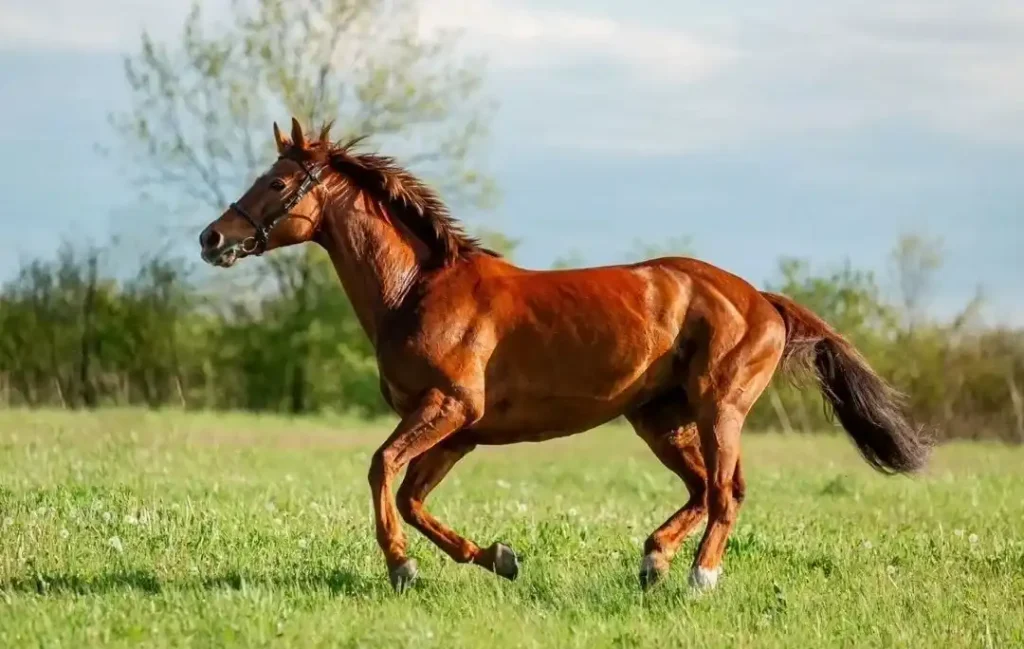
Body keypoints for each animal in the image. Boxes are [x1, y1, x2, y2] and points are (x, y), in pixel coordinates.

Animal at [198, 118, 932, 593]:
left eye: (276, 182)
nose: (213, 238)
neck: (419, 290)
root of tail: (762, 300)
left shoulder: (449, 407)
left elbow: (383, 470)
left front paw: (402, 568)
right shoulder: (459, 430)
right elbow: (410, 497)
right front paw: (499, 556)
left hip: (718, 408)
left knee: (725, 493)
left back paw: (700, 574)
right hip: (659, 418)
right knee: (704, 489)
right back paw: (654, 561)